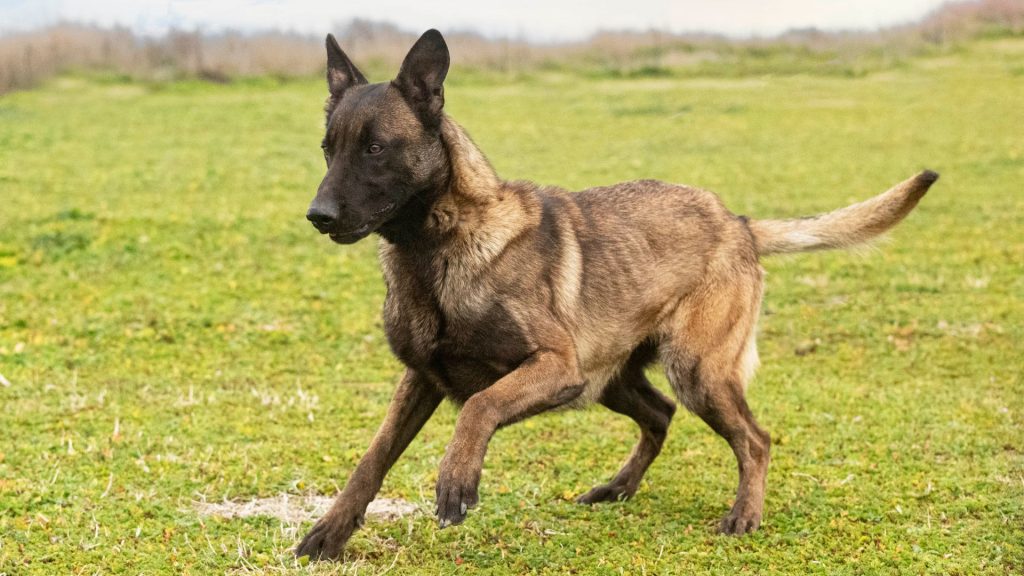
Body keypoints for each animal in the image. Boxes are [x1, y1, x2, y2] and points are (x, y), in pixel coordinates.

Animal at [294, 28, 937, 561]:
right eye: (327, 148)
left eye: (376, 148)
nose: (317, 216)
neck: (438, 251)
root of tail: (738, 222)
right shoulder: (422, 380)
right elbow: (372, 459)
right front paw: (330, 533)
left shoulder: (555, 366)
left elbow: (479, 407)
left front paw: (457, 478)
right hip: (611, 380)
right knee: (661, 415)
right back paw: (620, 487)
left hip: (693, 371)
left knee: (754, 439)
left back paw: (743, 516)